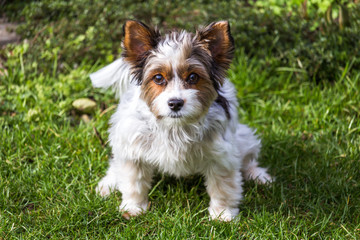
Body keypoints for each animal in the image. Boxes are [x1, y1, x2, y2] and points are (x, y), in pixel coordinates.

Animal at [90, 20, 272, 221]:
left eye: (193, 77)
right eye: (158, 78)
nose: (175, 103)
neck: (175, 127)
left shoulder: (221, 155)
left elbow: (223, 187)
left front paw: (222, 214)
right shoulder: (133, 149)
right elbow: (133, 183)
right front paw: (133, 207)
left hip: (243, 137)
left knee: (248, 158)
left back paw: (258, 175)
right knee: (117, 163)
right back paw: (108, 183)